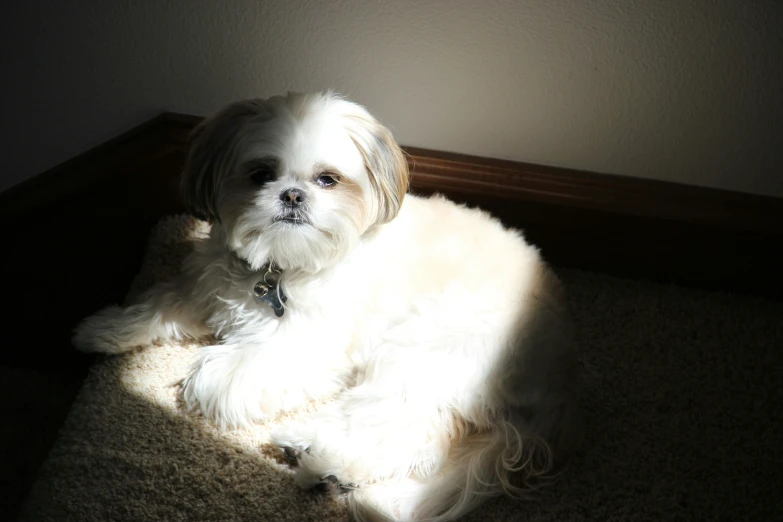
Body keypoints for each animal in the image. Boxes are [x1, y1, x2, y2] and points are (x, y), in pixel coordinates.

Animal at [75, 92, 580, 520]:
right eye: (261, 174)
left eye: (328, 179)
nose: (293, 194)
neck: (278, 266)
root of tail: (559, 373)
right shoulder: (205, 283)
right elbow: (160, 301)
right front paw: (104, 329)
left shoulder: (308, 348)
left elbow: (217, 373)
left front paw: (205, 377)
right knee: (426, 441)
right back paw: (329, 472)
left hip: (426, 349)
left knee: (398, 423)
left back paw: (316, 454)